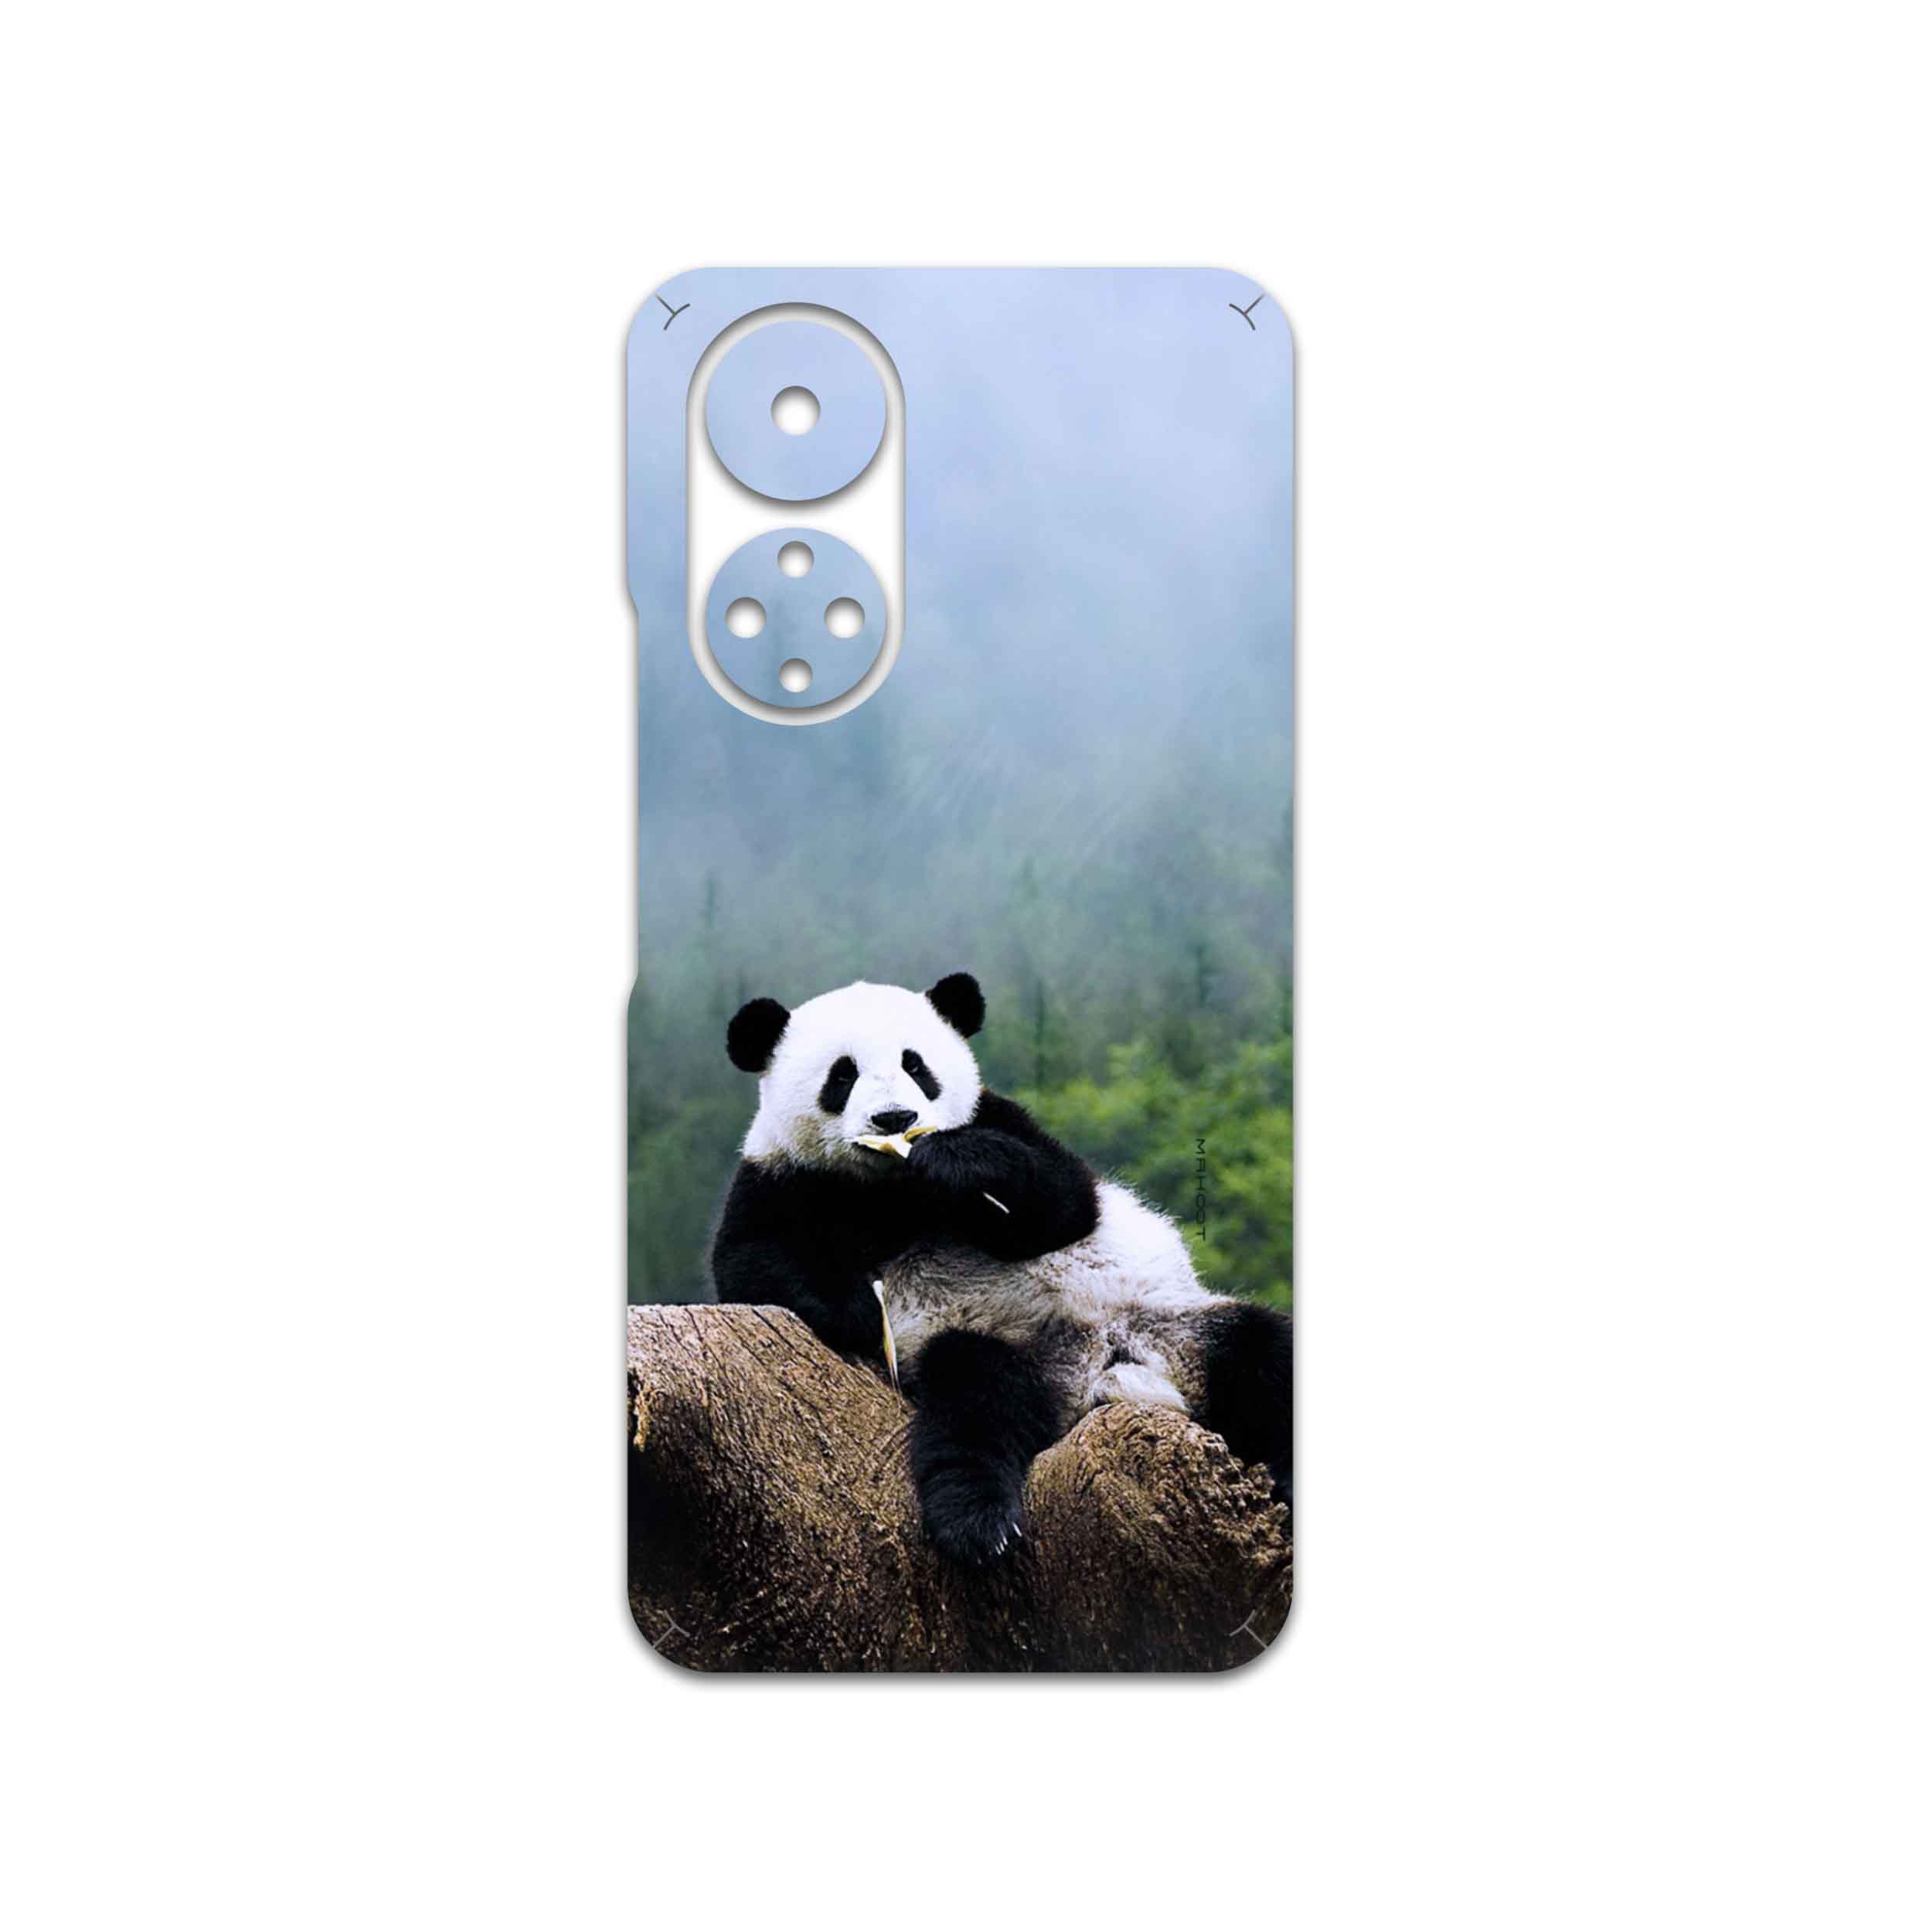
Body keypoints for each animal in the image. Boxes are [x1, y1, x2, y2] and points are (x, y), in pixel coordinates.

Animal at [712, 972, 1293, 1565]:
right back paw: (980, 1523)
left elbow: (1064, 1202)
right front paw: (858, 1311)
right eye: (843, 1075)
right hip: (994, 1345)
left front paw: (955, 1163)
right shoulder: (782, 1178)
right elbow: (751, 1262)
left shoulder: (1000, 1119)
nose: (895, 1119)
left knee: (1265, 1355)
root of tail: (1101, 1373)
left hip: (1175, 1323)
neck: (891, 1189)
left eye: (916, 1066)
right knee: (975, 1407)